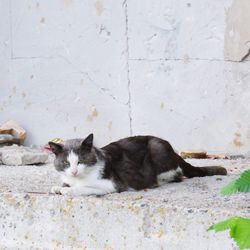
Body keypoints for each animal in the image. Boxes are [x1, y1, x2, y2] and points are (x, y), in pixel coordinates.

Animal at [48, 134, 227, 196]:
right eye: (65, 162)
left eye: (81, 161)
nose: (74, 171)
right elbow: (65, 183)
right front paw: (58, 187)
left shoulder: (113, 184)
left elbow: (84, 188)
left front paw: (67, 190)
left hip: (156, 148)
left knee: (176, 174)